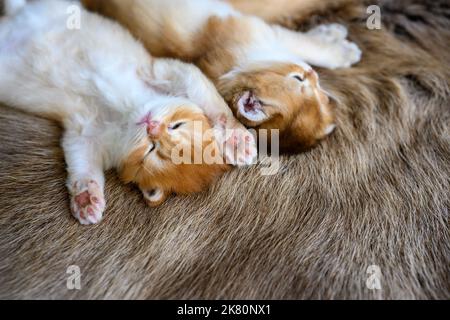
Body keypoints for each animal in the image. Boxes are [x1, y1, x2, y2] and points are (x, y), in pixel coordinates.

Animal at [0, 0, 256, 225]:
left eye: (151, 150)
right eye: (177, 124)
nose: (151, 125)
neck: (126, 113)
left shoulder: (85, 134)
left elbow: (83, 164)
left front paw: (86, 199)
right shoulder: (164, 69)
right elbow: (212, 101)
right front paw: (237, 139)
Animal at [81, 0, 362, 152]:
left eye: (316, 87)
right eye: (298, 79)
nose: (313, 74)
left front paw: (329, 34)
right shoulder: (264, 32)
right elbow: (305, 45)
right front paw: (340, 48)